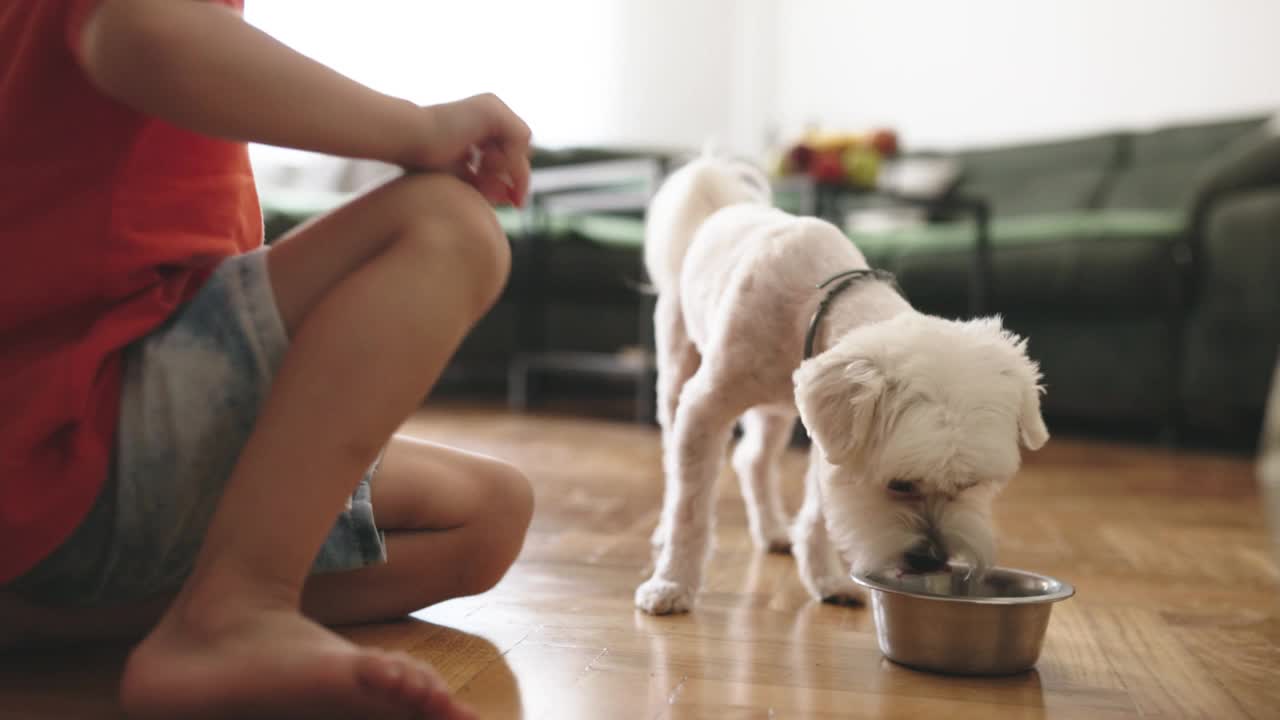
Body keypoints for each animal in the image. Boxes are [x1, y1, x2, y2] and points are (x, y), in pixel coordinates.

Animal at [634, 154, 1044, 614]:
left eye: (969, 485)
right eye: (899, 483)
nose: (931, 559)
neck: (814, 305)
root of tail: (722, 203)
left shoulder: (831, 441)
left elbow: (820, 512)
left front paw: (826, 578)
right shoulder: (704, 408)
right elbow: (690, 507)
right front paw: (672, 582)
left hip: (778, 409)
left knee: (752, 460)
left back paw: (773, 530)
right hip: (675, 372)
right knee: (674, 465)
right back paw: (665, 535)